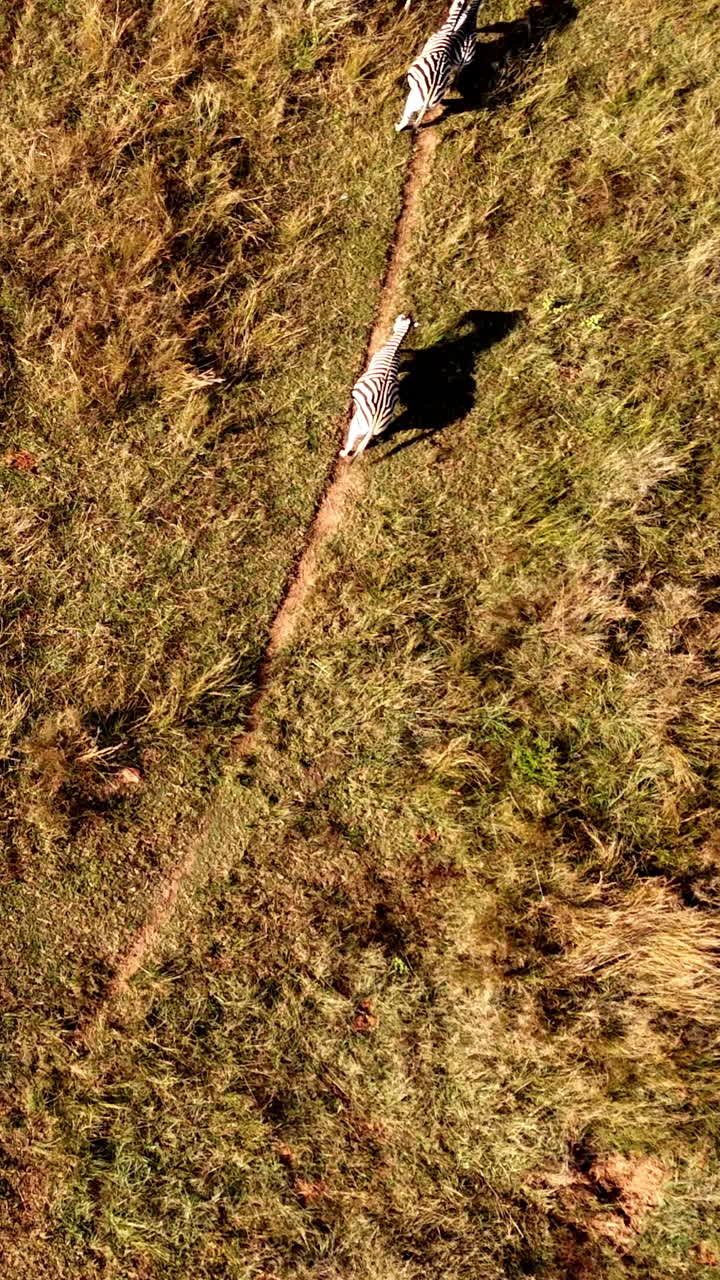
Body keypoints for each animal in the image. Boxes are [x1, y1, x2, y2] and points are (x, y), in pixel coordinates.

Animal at [340, 314, 416, 460]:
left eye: (397, 321)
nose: (393, 326)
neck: (393, 350)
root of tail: (374, 421)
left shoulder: (373, 362)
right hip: (381, 427)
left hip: (356, 425)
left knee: (351, 442)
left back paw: (343, 453)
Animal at [395, 0, 481, 132]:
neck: (450, 29)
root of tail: (430, 93)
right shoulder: (456, 63)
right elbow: (456, 73)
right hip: (428, 101)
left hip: (412, 100)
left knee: (406, 120)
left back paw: (397, 127)